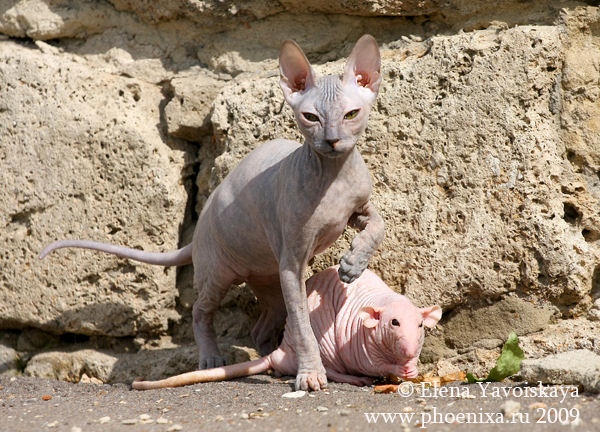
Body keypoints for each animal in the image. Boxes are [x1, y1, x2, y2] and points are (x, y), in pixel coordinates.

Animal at [38, 34, 384, 392]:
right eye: (311, 117)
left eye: (351, 114)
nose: (332, 141)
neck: (332, 175)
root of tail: (199, 228)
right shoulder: (292, 259)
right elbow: (302, 325)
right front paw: (310, 374)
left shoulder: (359, 206)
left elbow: (378, 224)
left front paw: (353, 264)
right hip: (220, 270)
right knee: (201, 311)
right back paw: (213, 358)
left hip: (269, 277)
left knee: (262, 324)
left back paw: (271, 360)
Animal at [131, 266, 440, 392]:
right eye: (394, 323)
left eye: (420, 325)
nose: (408, 351)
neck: (383, 300)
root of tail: (283, 351)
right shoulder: (357, 342)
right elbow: (370, 362)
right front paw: (399, 369)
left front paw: (411, 365)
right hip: (323, 346)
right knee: (332, 369)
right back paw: (353, 379)